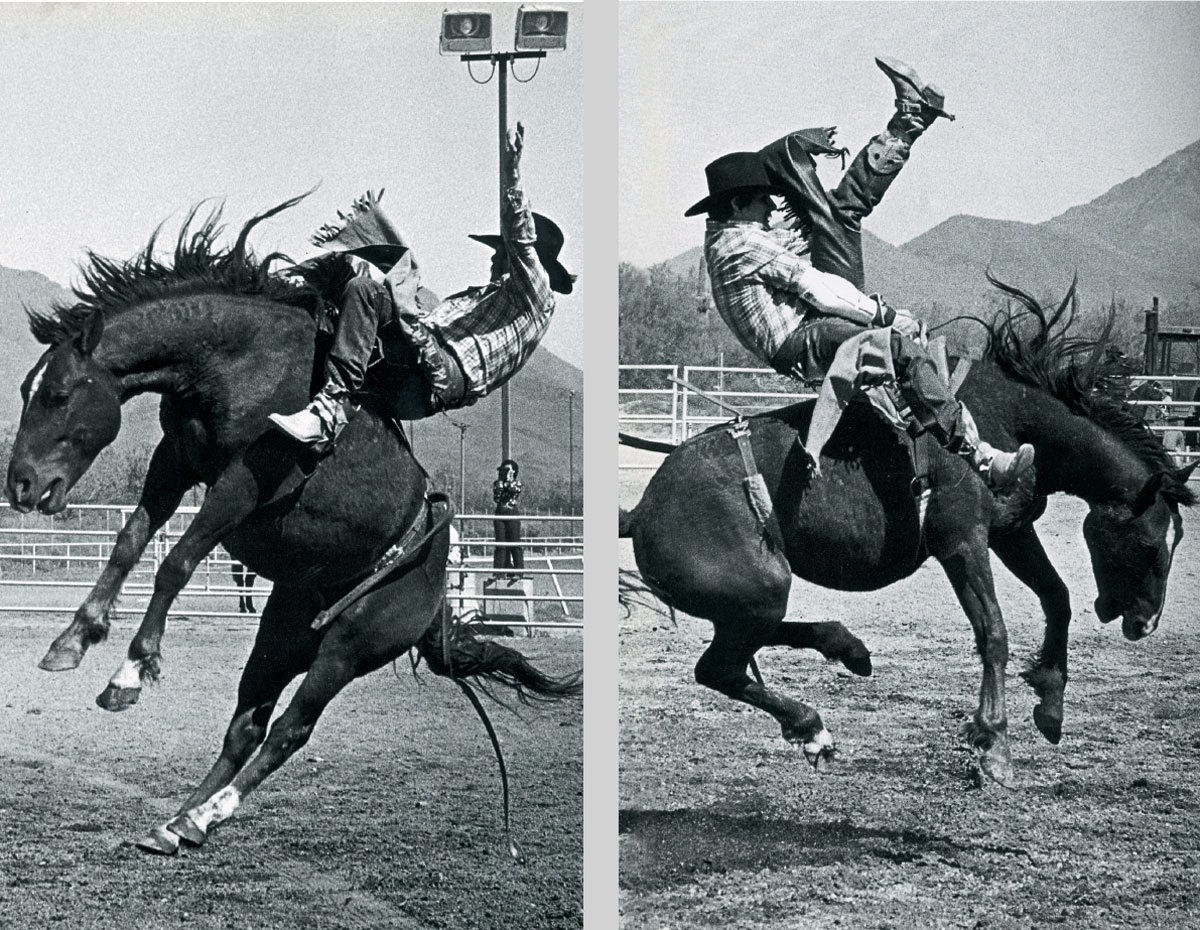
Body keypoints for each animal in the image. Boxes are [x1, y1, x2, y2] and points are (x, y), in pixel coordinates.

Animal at [2, 198, 578, 859]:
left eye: (58, 393)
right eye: (29, 389)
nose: (20, 485)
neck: (240, 361)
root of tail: (435, 593)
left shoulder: (248, 481)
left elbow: (177, 561)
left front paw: (131, 671)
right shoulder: (175, 460)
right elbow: (130, 541)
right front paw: (72, 640)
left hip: (351, 647)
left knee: (290, 729)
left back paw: (206, 815)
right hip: (281, 635)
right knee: (246, 727)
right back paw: (176, 823)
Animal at [624, 279, 1195, 787]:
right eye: (1149, 544)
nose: (1145, 624)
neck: (1010, 422)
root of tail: (639, 510)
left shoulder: (1010, 532)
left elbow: (1057, 597)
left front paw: (1050, 704)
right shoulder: (961, 541)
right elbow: (994, 633)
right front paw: (994, 746)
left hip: (752, 599)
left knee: (749, 647)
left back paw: (848, 650)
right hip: (759, 590)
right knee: (719, 668)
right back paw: (814, 728)